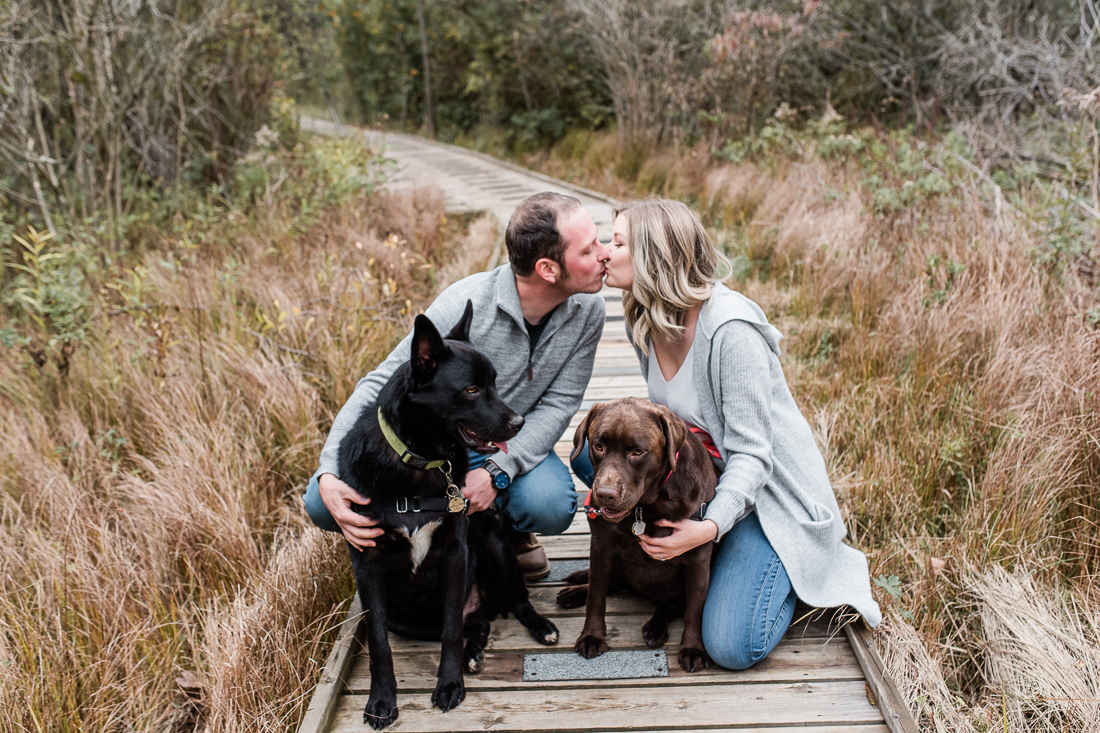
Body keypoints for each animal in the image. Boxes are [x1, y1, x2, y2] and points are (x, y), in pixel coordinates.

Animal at [334, 301, 558, 726]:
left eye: (494, 382)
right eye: (471, 390)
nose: (519, 423)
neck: (418, 462)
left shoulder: (456, 552)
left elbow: (452, 628)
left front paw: (450, 684)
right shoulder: (367, 565)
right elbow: (380, 643)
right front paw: (381, 700)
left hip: (494, 542)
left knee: (511, 601)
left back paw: (538, 626)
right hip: (407, 617)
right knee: (476, 622)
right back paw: (475, 650)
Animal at [558, 396, 721, 669]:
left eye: (637, 452)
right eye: (598, 446)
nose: (605, 494)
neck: (645, 508)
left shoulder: (698, 557)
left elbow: (695, 609)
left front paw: (693, 649)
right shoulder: (601, 545)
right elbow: (596, 596)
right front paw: (592, 635)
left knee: (672, 605)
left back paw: (656, 627)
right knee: (607, 582)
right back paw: (575, 593)